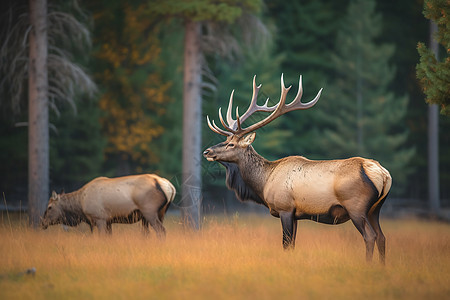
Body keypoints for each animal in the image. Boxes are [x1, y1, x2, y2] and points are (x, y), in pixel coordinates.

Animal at [202, 74, 392, 262]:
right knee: (382, 237)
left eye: (231, 144)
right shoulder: (296, 214)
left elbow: (286, 244)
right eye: (225, 141)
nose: (207, 151)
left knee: (370, 236)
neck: (264, 182)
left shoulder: (285, 208)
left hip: (356, 207)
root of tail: (382, 173)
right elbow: (292, 244)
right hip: (375, 209)